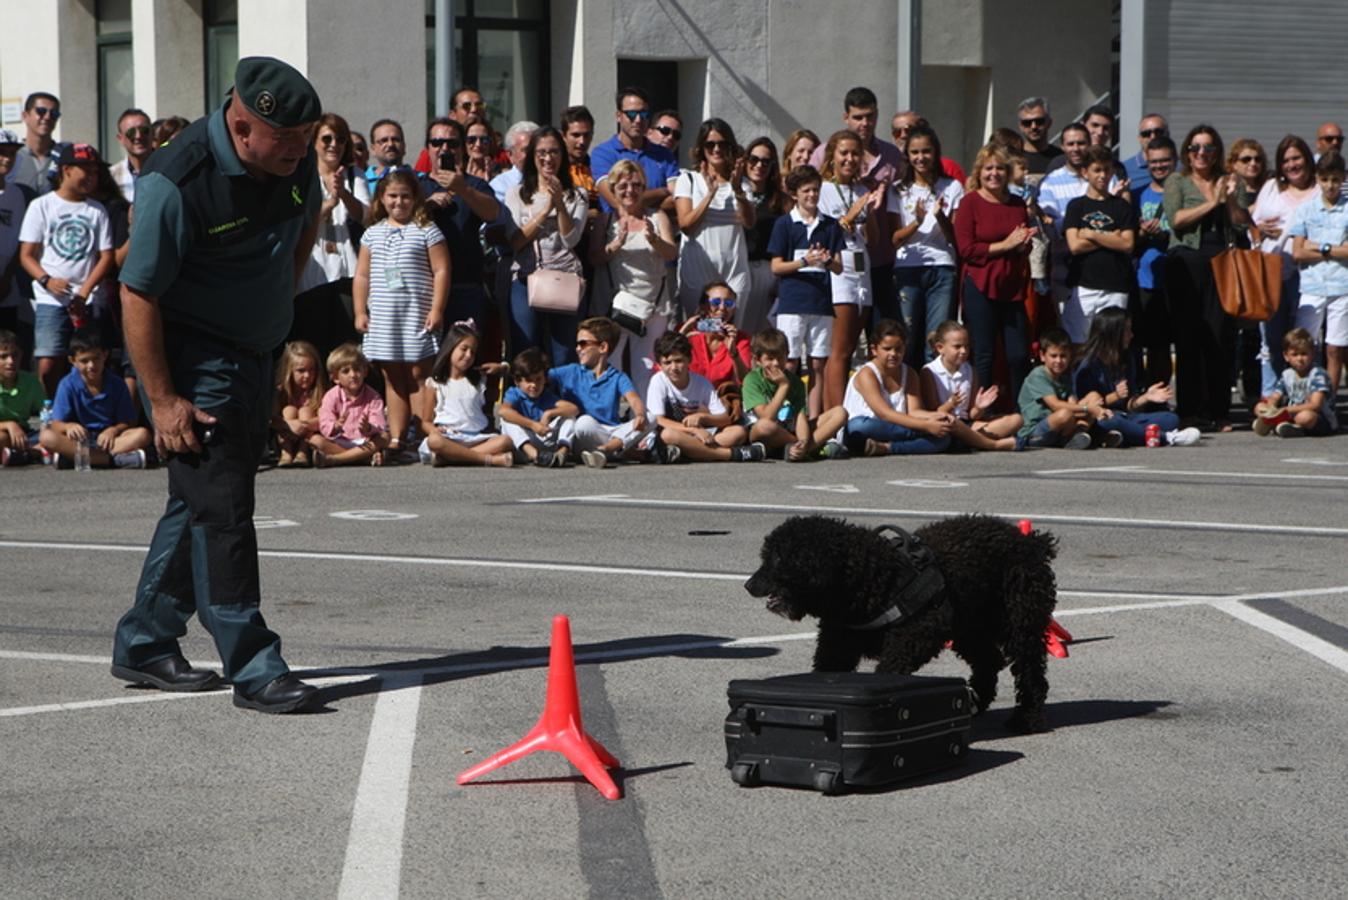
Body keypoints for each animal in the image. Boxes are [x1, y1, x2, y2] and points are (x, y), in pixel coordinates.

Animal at [744, 511, 1056, 732]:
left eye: (777, 559)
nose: (748, 585)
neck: (869, 578)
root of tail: (1031, 541)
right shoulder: (838, 645)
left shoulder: (918, 633)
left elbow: (890, 669)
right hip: (969, 627)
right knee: (989, 662)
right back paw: (977, 701)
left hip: (1020, 623)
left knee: (1030, 671)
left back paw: (1027, 718)